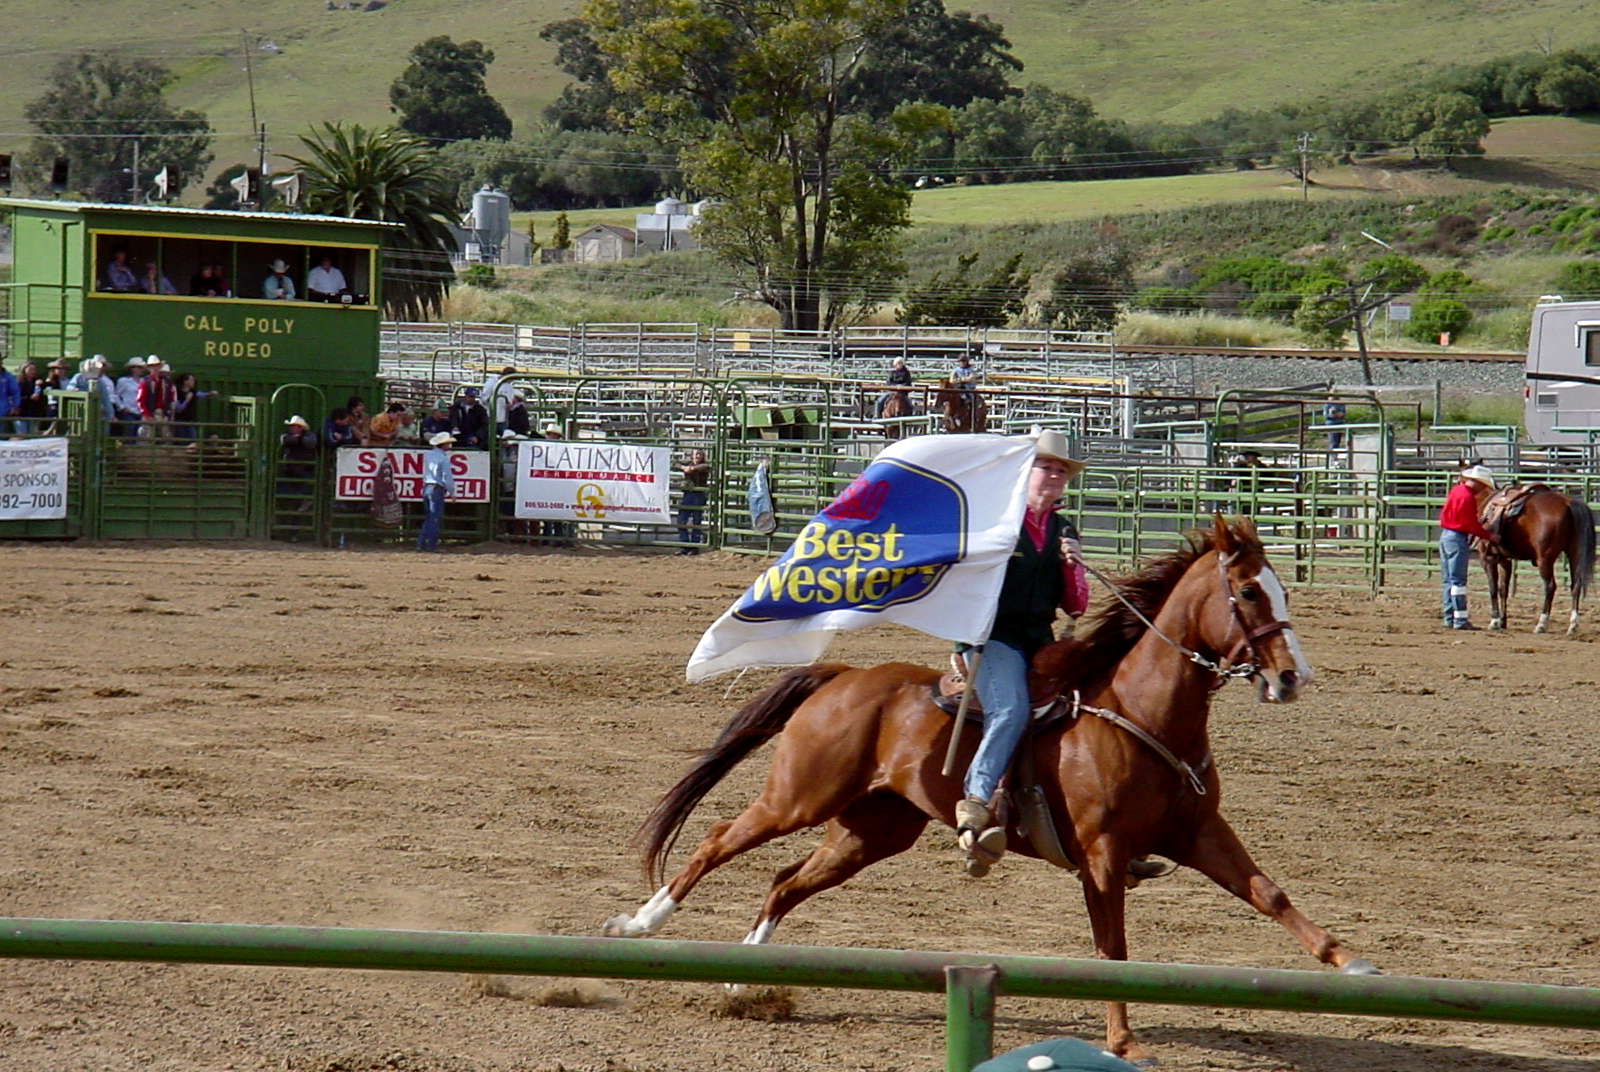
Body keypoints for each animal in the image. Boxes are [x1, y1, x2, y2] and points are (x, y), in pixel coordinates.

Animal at [604, 515, 1382, 1062]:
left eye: (1280, 588)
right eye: (1248, 591)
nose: (1292, 678)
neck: (1140, 713)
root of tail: (847, 678)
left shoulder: (1199, 834)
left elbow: (1271, 895)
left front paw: (1355, 965)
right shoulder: (1102, 856)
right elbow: (1113, 949)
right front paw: (1124, 1040)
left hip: (871, 830)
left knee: (785, 880)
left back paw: (744, 975)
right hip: (798, 796)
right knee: (715, 840)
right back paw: (640, 925)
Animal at [1478, 489, 1593, 640]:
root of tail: (1569, 503)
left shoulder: (1488, 558)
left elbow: (1492, 588)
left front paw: (1494, 621)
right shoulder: (1504, 560)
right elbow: (1503, 589)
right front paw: (1502, 621)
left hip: (1544, 560)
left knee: (1550, 586)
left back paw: (1541, 624)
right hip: (1575, 553)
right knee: (1575, 586)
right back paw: (1572, 625)